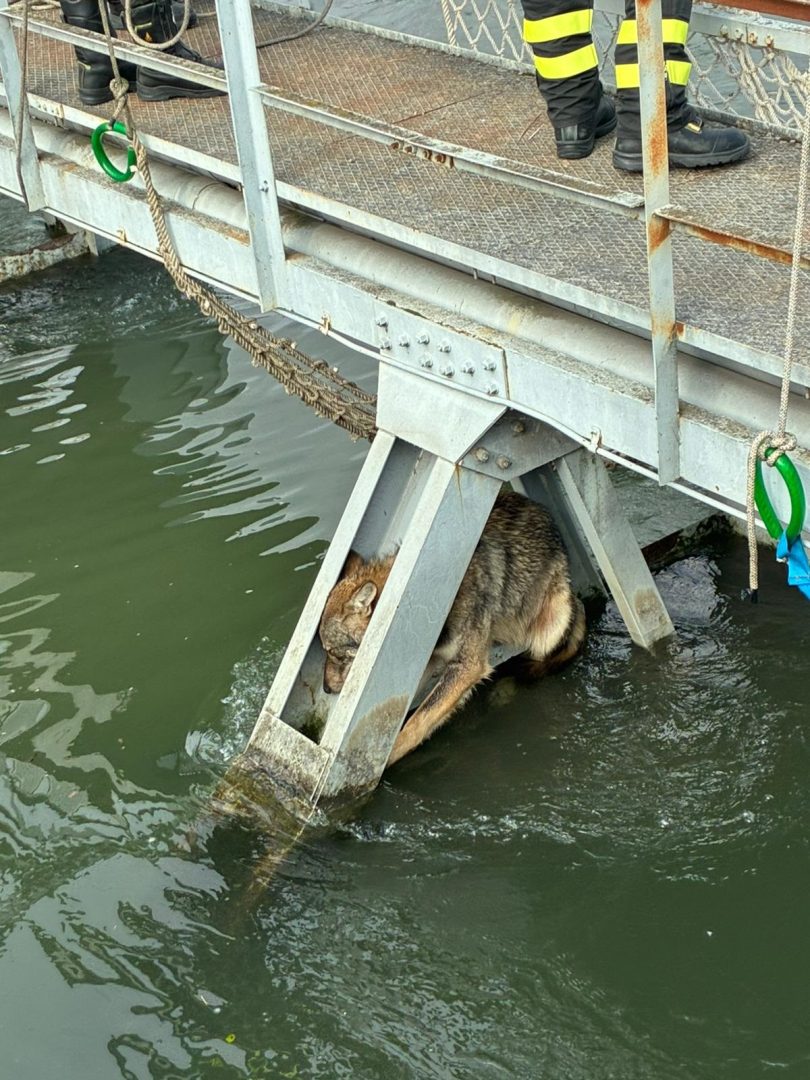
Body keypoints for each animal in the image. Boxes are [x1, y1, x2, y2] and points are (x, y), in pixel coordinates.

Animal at [318, 490, 586, 766]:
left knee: (537, 663)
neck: (430, 604)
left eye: (333, 652)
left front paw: (385, 762)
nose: (325, 688)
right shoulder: (427, 662)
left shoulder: (467, 667)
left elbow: (419, 720)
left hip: (553, 623)